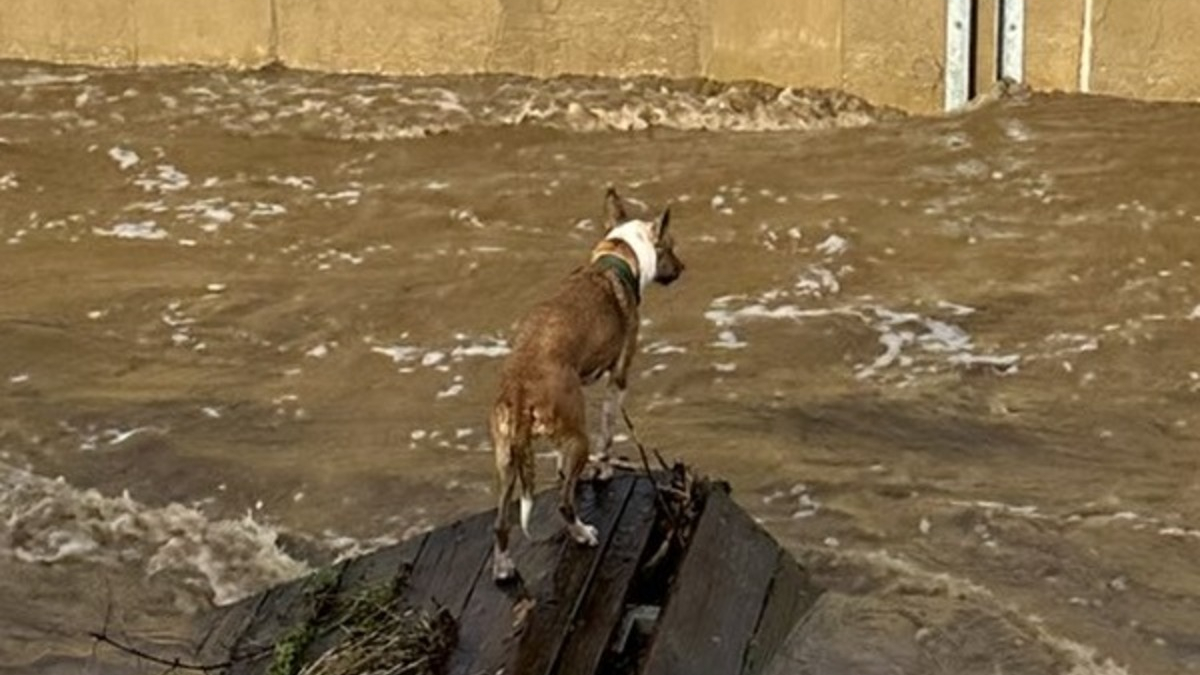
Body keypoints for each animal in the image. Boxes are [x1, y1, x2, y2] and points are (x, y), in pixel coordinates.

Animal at [489, 187, 686, 578]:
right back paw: (582, 533)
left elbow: (562, 468)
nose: (683, 268)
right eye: (669, 246)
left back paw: (503, 566)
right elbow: (607, 435)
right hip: (576, 439)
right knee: (565, 503)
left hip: (507, 460)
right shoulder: (619, 378)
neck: (616, 261)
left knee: (502, 522)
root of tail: (520, 389)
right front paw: (604, 470)